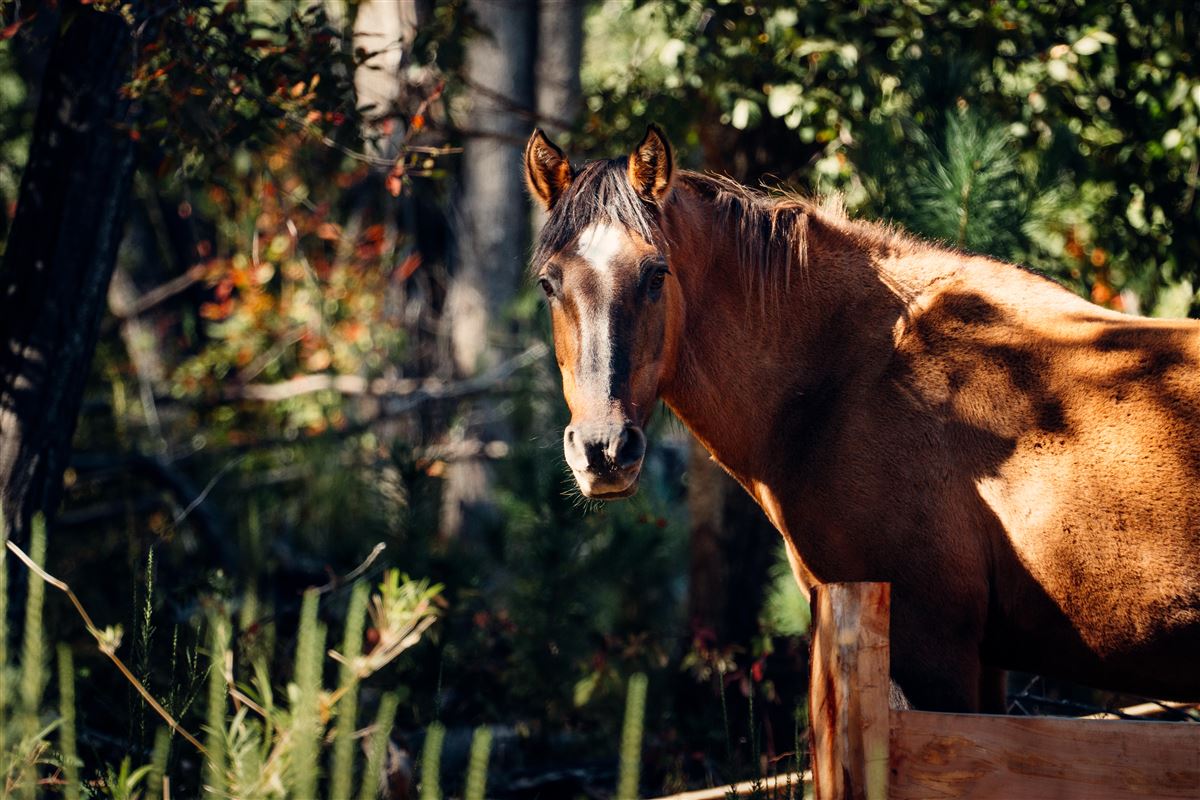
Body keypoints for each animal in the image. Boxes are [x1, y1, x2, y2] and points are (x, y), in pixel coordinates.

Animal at [523, 123, 1200, 714]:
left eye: (656, 273)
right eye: (549, 285)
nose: (603, 449)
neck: (848, 376)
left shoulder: (929, 651)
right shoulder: (980, 662)